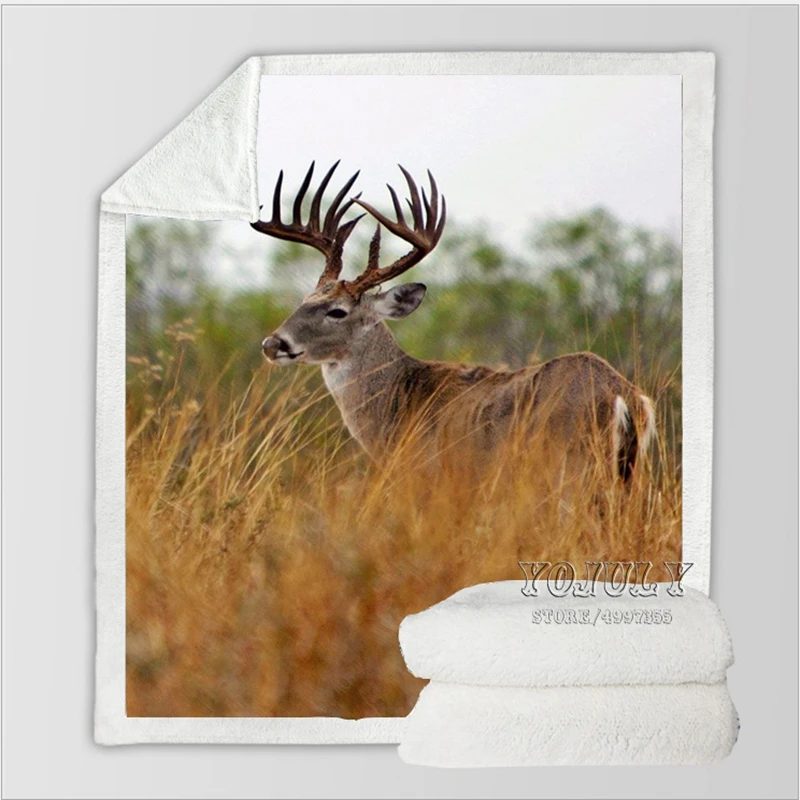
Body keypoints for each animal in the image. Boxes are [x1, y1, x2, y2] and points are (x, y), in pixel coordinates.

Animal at [253, 161, 655, 488]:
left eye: (337, 311)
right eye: (304, 299)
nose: (273, 344)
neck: (397, 402)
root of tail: (623, 395)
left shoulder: (433, 478)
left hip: (573, 466)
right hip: (629, 473)